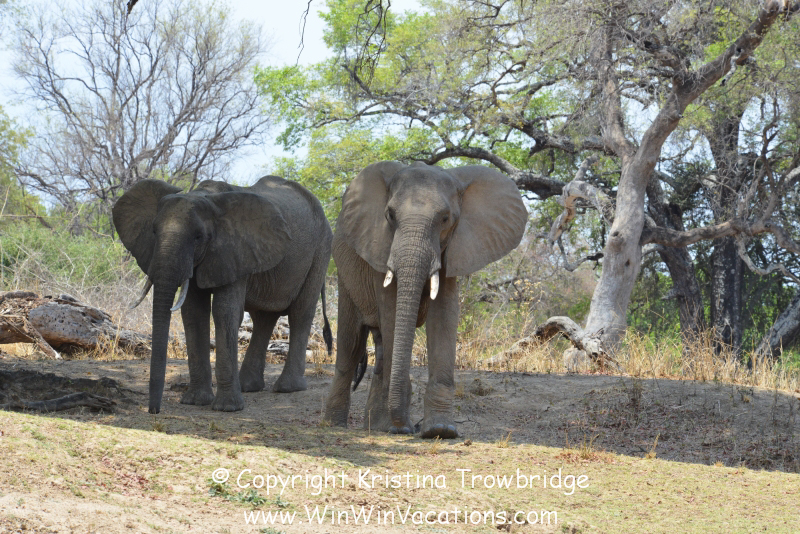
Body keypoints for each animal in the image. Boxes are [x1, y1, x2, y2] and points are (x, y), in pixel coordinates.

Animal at [112, 176, 333, 414]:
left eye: (198, 237)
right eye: (153, 232)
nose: (154, 410)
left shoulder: (235, 250)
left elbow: (224, 311)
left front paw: (227, 408)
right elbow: (193, 313)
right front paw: (195, 401)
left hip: (320, 251)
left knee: (300, 313)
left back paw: (287, 388)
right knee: (264, 318)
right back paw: (248, 386)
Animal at [323, 161, 527, 439]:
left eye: (445, 218)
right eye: (390, 216)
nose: (408, 428)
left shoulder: (454, 249)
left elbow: (444, 315)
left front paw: (440, 430)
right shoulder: (380, 248)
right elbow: (392, 312)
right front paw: (401, 428)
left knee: (381, 347)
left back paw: (377, 425)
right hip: (344, 274)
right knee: (351, 344)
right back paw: (336, 424)